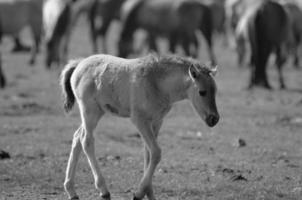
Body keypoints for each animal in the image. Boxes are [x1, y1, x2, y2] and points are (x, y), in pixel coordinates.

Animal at [60, 53, 219, 200]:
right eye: (202, 92)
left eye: (215, 91)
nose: (214, 119)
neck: (156, 82)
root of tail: (79, 63)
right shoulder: (140, 120)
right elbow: (156, 152)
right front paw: (139, 193)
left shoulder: (156, 122)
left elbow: (148, 154)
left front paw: (149, 193)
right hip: (90, 112)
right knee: (86, 140)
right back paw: (103, 190)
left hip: (97, 113)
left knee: (77, 137)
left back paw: (71, 191)